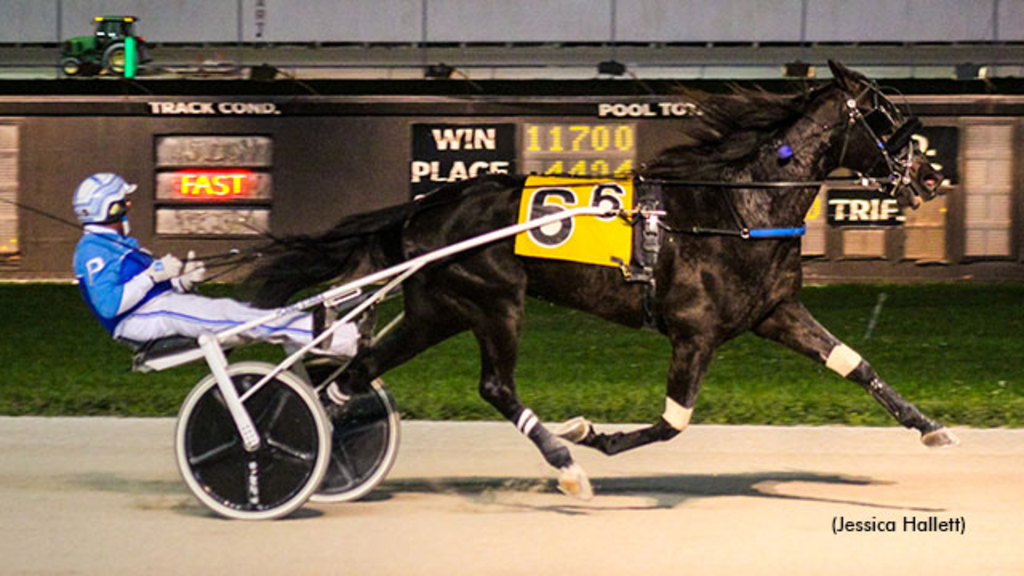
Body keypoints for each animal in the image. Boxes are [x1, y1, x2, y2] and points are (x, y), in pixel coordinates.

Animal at [247, 60, 950, 496]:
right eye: (886, 118)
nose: (930, 176)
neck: (738, 211)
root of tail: (425, 208)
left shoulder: (776, 314)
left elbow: (855, 364)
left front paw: (929, 427)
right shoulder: (693, 333)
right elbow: (673, 423)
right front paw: (588, 435)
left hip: (438, 308)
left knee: (352, 374)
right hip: (496, 300)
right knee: (494, 386)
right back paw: (562, 463)